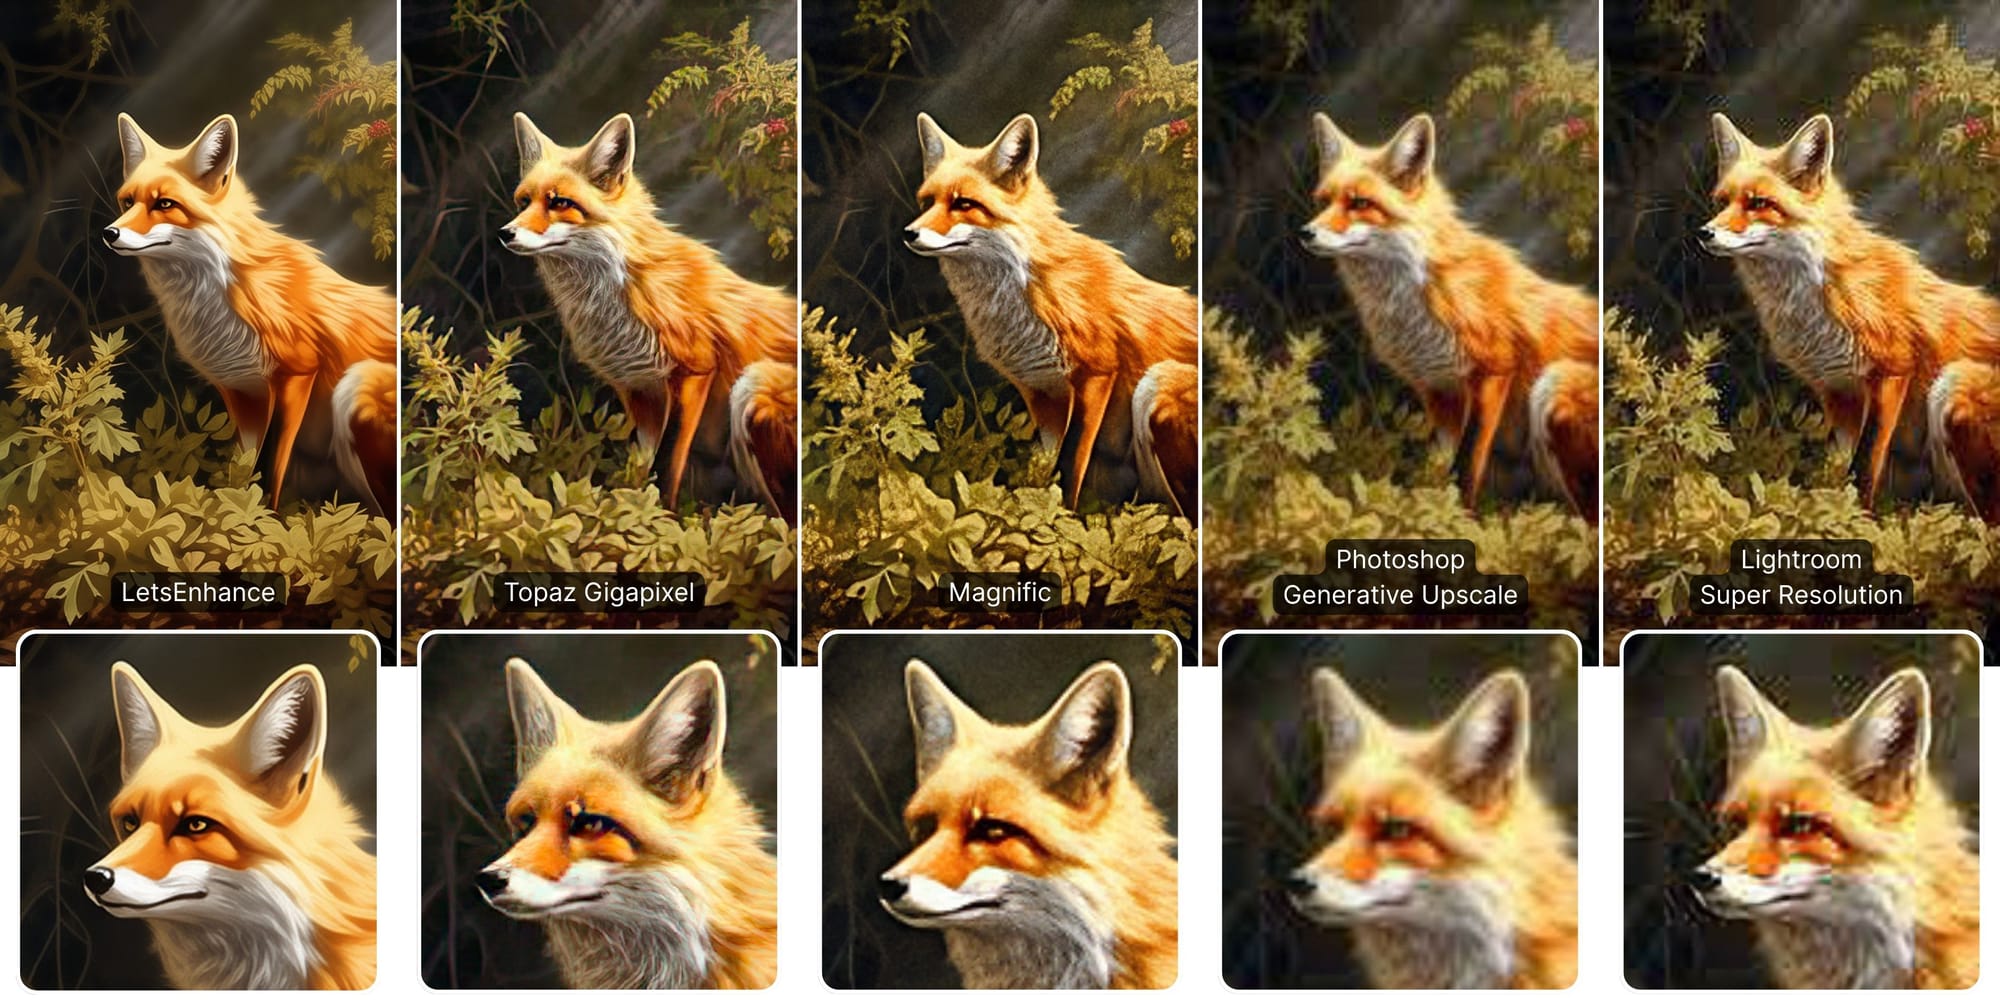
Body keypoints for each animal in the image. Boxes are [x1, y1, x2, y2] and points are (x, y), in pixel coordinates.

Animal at [105, 113, 397, 515]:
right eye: (128, 201)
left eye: (164, 203)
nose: (109, 233)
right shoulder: (240, 392)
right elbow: (244, 468)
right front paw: (238, 519)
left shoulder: (296, 374)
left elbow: (272, 469)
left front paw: (267, 520)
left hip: (357, 388)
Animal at [505, 113, 797, 523]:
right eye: (523, 201)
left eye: (560, 202)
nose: (505, 233)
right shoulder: (639, 393)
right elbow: (642, 465)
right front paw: (631, 512)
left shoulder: (694, 372)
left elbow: (667, 465)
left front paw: (661, 520)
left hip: (752, 388)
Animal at [906, 113, 1199, 518]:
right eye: (927, 201)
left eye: (964, 203)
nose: (909, 233)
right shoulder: (1042, 395)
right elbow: (1046, 466)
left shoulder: (1095, 375)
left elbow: (1069, 467)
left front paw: (1061, 520)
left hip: (1157, 384)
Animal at [1302, 113, 1600, 521]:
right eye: (1323, 201)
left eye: (1359, 203)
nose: (1306, 233)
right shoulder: (1437, 390)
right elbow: (1445, 463)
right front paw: (1437, 516)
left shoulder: (1492, 372)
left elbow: (1467, 466)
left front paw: (1460, 521)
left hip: (1554, 385)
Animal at [1703, 113, 2000, 520]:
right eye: (1722, 202)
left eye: (1759, 203)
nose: (1704, 233)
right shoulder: (1836, 390)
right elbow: (1851, 464)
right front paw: (1845, 517)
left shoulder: (1891, 371)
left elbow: (1865, 467)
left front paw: (1857, 521)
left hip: (1952, 386)